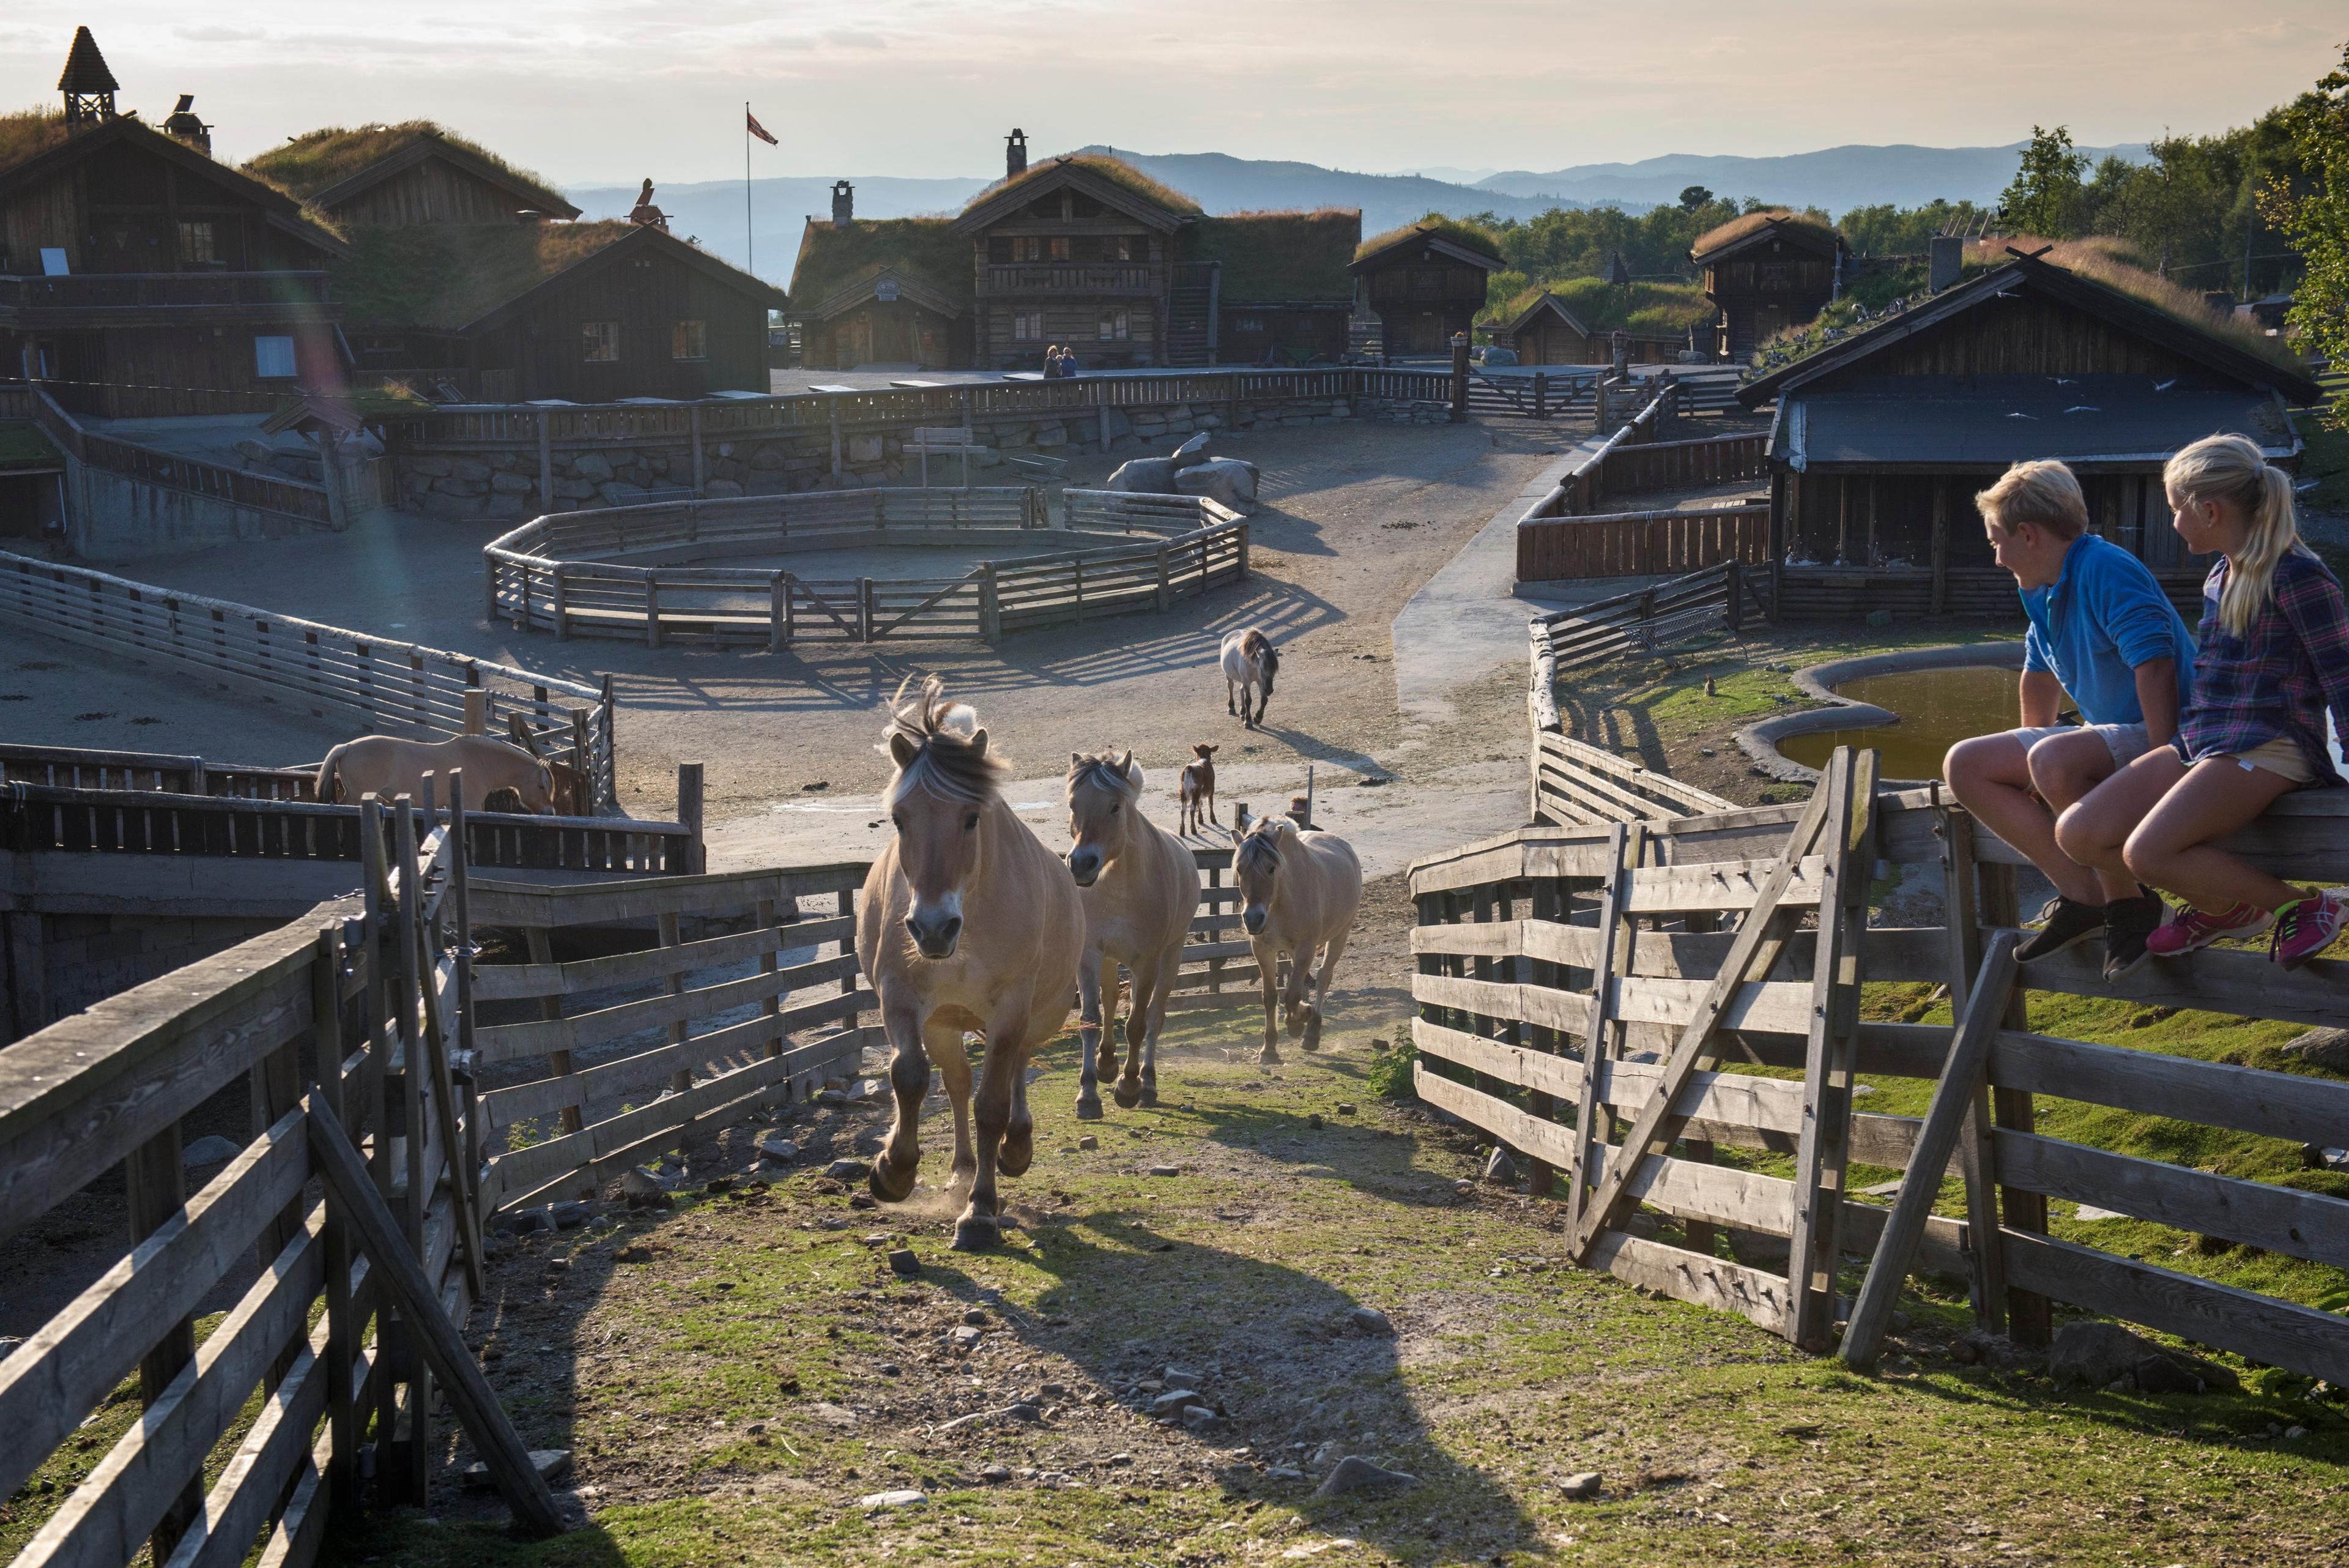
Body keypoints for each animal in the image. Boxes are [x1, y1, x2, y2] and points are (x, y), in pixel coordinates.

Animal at [857, 675, 1084, 1250]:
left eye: (971, 818)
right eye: (899, 819)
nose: (933, 928)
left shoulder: (1010, 1008)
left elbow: (992, 1105)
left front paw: (981, 1210)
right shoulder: (900, 996)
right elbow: (910, 1076)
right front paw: (893, 1169)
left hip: (1036, 1015)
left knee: (1016, 1069)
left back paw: (1014, 1150)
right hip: (943, 1023)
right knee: (957, 1082)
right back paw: (960, 1169)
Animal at [1066, 750, 1202, 1117]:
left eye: (1115, 807)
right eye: (1073, 805)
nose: (1081, 864)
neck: (1118, 887)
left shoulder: (1147, 962)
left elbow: (1138, 1024)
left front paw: (1128, 1086)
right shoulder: (1089, 956)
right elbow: (1091, 1019)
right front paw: (1088, 1093)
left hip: (1171, 956)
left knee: (1155, 1017)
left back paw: (1148, 1083)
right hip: (1111, 959)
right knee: (1112, 1000)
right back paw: (1106, 1064)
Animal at [1177, 743, 1219, 836]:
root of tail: (1189, 767)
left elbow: (1200, 804)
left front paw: (1200, 819)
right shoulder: (1211, 790)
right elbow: (1210, 804)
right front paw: (1213, 819)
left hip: (1183, 791)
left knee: (1183, 809)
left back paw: (1182, 831)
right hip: (1196, 791)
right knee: (1192, 809)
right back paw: (1193, 829)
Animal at [1220, 628, 1280, 727]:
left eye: (1275, 670)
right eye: (1262, 668)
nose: (1269, 690)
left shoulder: (1261, 682)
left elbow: (1264, 699)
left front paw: (1258, 717)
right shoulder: (1247, 682)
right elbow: (1248, 700)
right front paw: (1248, 721)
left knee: (1241, 690)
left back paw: (1242, 712)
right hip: (1229, 675)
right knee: (1230, 686)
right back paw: (1232, 707)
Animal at [1232, 812, 1361, 1064]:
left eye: (1272, 868)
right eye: (1240, 869)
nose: (1253, 919)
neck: (1280, 902)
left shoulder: (1305, 949)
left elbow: (1291, 995)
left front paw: (1298, 1022)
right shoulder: (1263, 950)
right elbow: (1271, 996)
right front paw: (1269, 1049)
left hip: (1340, 935)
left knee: (1324, 977)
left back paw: (1312, 1032)